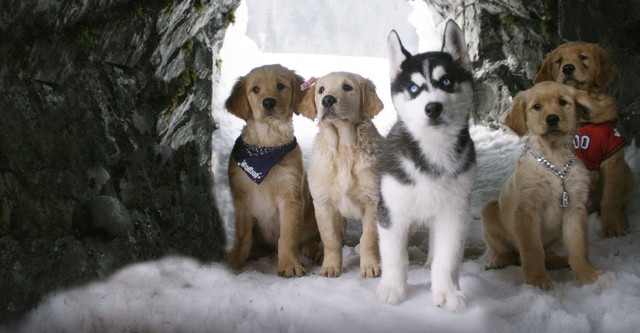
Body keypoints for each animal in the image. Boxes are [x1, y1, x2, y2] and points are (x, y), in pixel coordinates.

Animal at [224, 63, 320, 276]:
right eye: (255, 89)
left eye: (280, 86)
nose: (268, 103)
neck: (268, 143)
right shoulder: (241, 197)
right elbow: (242, 235)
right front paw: (235, 260)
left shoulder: (290, 195)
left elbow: (288, 236)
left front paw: (290, 264)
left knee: (312, 236)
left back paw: (313, 249)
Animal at [298, 72, 382, 278]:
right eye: (321, 90)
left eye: (347, 87)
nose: (327, 100)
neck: (343, 147)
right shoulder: (323, 204)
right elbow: (330, 238)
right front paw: (330, 267)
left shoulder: (373, 202)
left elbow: (368, 238)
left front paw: (370, 267)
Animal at [378, 20, 478, 312]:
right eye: (413, 88)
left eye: (446, 81)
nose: (433, 108)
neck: (433, 150)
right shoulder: (391, 211)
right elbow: (394, 256)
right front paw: (392, 288)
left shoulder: (455, 211)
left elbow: (449, 257)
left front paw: (447, 291)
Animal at [482, 80, 604, 288]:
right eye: (537, 106)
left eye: (562, 102)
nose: (552, 119)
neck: (555, 161)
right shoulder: (527, 210)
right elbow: (532, 249)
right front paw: (536, 280)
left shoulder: (575, 207)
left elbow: (578, 245)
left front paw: (588, 274)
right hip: (488, 211)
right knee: (506, 251)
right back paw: (499, 260)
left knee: (547, 254)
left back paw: (561, 261)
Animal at [532, 40, 632, 236]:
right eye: (559, 60)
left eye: (582, 57)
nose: (568, 68)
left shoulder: (612, 157)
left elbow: (610, 198)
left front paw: (612, 226)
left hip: (627, 173)